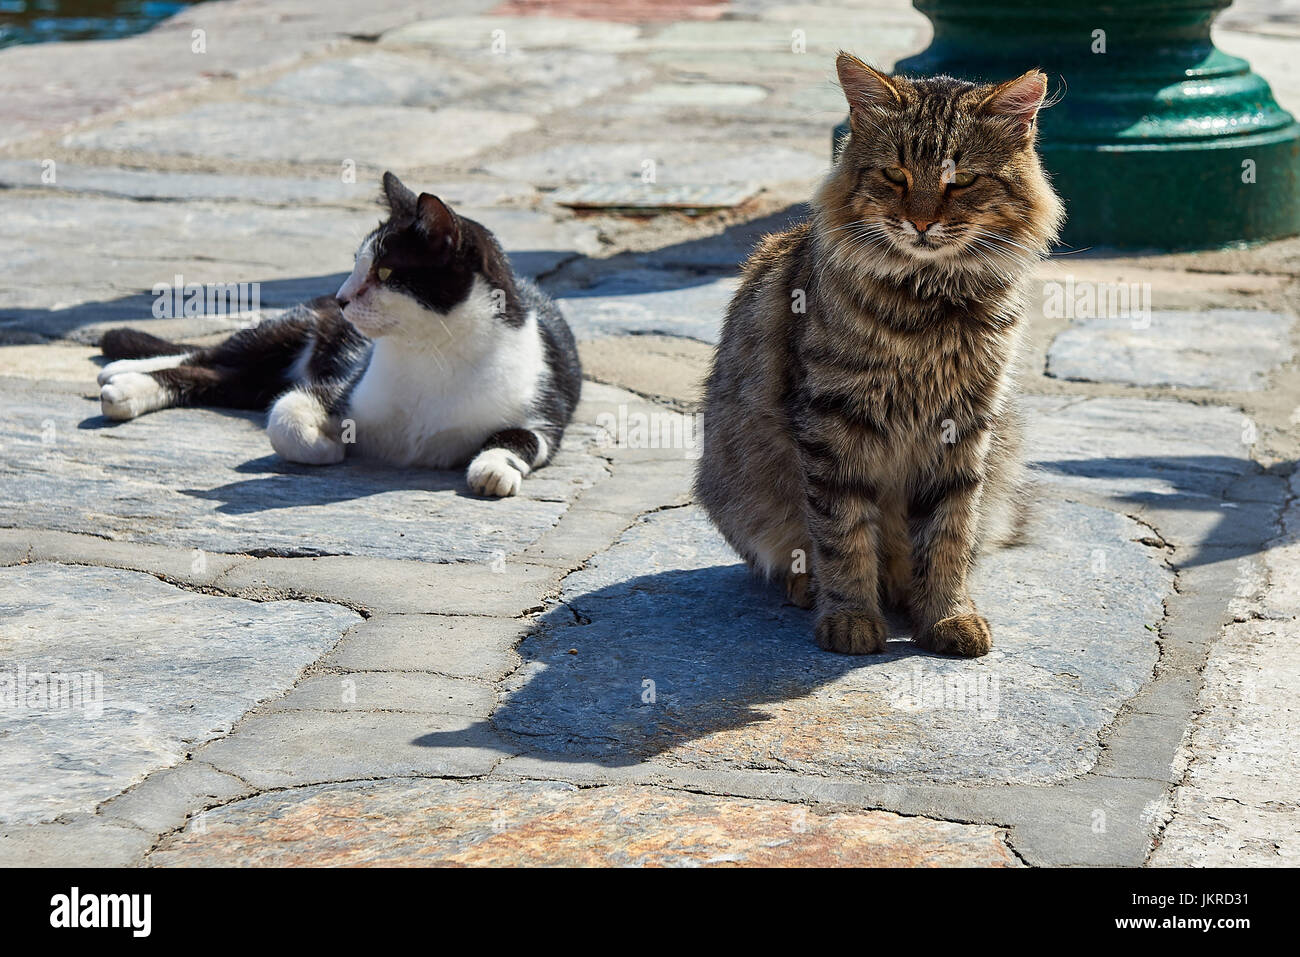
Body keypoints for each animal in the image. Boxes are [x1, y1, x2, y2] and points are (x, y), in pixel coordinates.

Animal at [100, 174, 585, 501]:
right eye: (355, 263)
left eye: (385, 272)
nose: (342, 297)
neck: (431, 353)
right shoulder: (343, 388)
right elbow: (285, 417)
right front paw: (324, 446)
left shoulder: (546, 412)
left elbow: (523, 439)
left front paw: (494, 468)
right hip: (292, 330)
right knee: (207, 355)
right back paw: (123, 375)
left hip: (256, 376)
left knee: (219, 376)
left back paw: (124, 383)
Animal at [696, 54, 1060, 657]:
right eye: (895, 176)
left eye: (961, 181)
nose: (922, 222)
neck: (930, 305)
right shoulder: (833, 422)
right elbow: (843, 536)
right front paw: (851, 618)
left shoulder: (964, 424)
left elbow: (948, 535)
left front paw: (947, 615)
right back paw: (812, 589)